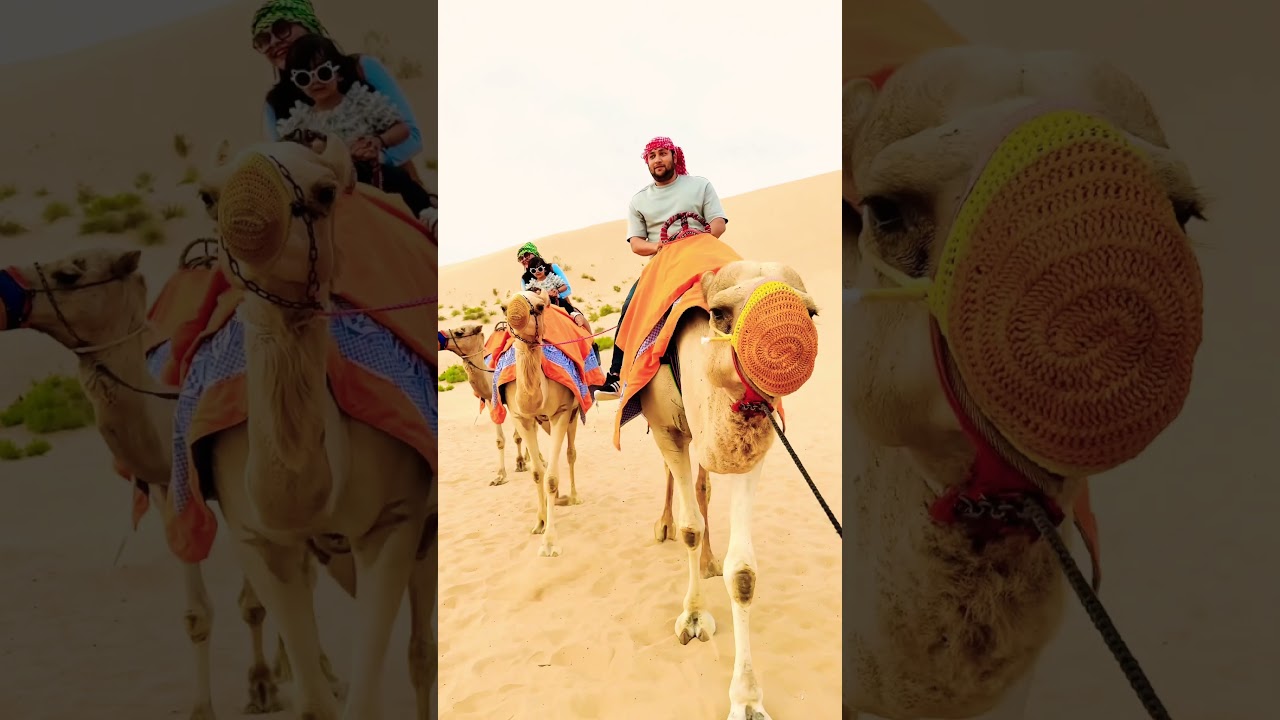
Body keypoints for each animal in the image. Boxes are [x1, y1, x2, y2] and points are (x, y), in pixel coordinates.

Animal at [0, 246, 351, 718]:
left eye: (69, 275)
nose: (6, 283)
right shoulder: (171, 488)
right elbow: (197, 615)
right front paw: (210, 706)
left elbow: (258, 599)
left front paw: (263, 684)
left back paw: (316, 672)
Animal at [197, 132, 435, 719]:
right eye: (207, 197)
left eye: (325, 193)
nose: (247, 211)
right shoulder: (257, 537)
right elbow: (315, 704)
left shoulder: (394, 521)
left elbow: (367, 701)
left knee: (423, 652)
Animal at [441, 322, 532, 485]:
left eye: (459, 332)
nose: (440, 335)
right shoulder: (491, 401)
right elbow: (500, 440)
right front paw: (500, 476)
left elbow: (518, 435)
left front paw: (520, 463)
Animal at [499, 291, 584, 557]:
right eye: (503, 307)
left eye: (539, 307)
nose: (515, 314)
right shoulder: (521, 417)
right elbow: (537, 473)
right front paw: (540, 522)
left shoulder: (560, 413)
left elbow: (551, 478)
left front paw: (549, 542)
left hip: (573, 414)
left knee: (571, 453)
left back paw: (574, 497)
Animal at [634, 257, 820, 720]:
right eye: (718, 314)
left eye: (811, 313)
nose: (782, 347)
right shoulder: (667, 430)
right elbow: (690, 529)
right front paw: (693, 618)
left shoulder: (750, 448)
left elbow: (743, 574)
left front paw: (747, 698)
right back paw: (663, 527)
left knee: (702, 486)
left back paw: (708, 562)